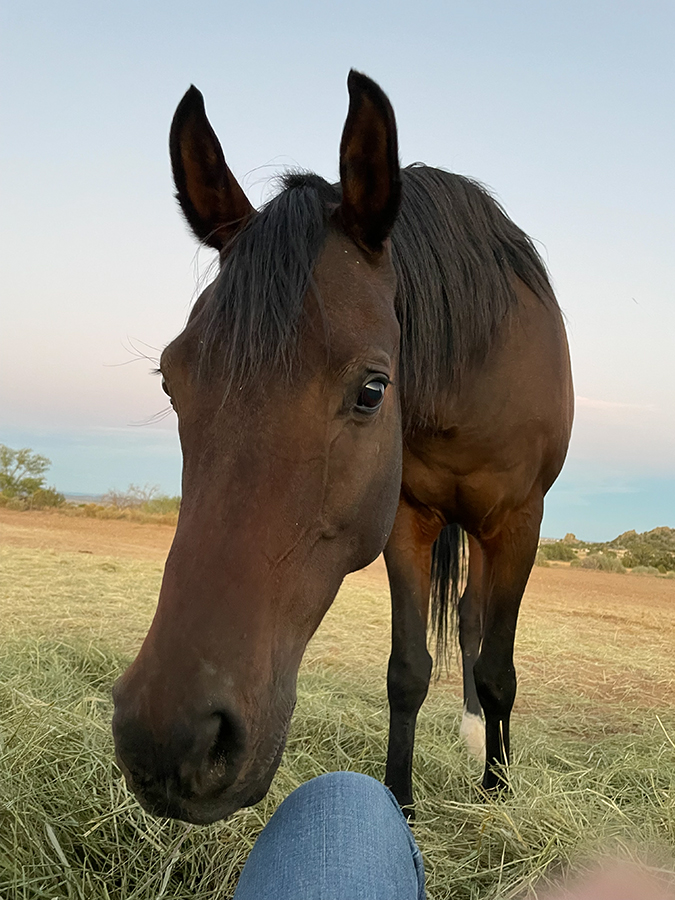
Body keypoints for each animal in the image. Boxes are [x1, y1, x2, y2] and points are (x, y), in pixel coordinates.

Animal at [112, 74, 576, 828]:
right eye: (170, 380)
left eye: (371, 390)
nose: (171, 738)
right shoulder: (405, 519)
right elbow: (407, 671)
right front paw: (400, 801)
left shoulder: (518, 521)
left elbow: (498, 672)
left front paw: (498, 790)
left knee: (477, 627)